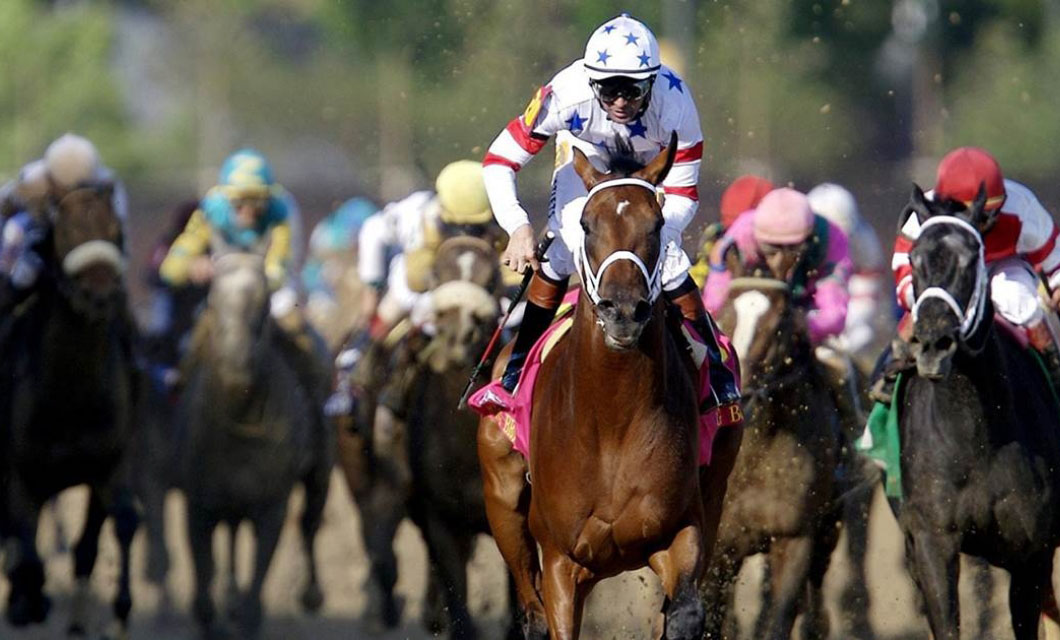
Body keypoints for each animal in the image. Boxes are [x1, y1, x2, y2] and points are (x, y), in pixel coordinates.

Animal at [0, 183, 139, 635]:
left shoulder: (110, 465)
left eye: (115, 230)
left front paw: (113, 610)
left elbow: (103, 536)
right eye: (65, 231)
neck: (71, 396)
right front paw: (30, 604)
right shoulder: (20, 474)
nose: (98, 295)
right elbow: (28, 553)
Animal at [479, 137, 720, 635]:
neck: (613, 418)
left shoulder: (682, 529)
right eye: (587, 225)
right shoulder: (560, 562)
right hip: (503, 502)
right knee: (530, 610)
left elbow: (685, 612)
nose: (623, 311)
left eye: (657, 223)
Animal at [894, 182, 1060, 635]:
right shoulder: (932, 542)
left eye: (970, 259)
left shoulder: (1032, 551)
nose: (933, 343)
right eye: (914, 258)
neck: (974, 433)